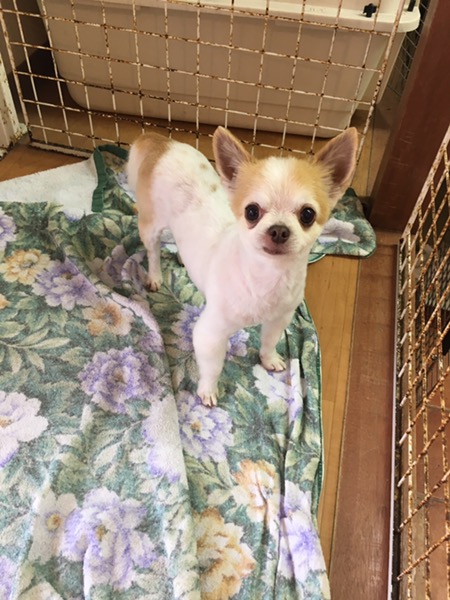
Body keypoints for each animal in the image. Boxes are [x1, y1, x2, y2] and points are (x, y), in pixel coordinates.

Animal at [127, 126, 358, 406]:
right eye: (251, 212)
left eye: (307, 214)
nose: (279, 230)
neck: (266, 277)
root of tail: (160, 142)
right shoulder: (210, 335)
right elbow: (213, 367)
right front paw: (208, 391)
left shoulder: (279, 318)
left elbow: (269, 341)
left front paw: (269, 360)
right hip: (150, 225)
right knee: (153, 251)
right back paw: (155, 275)